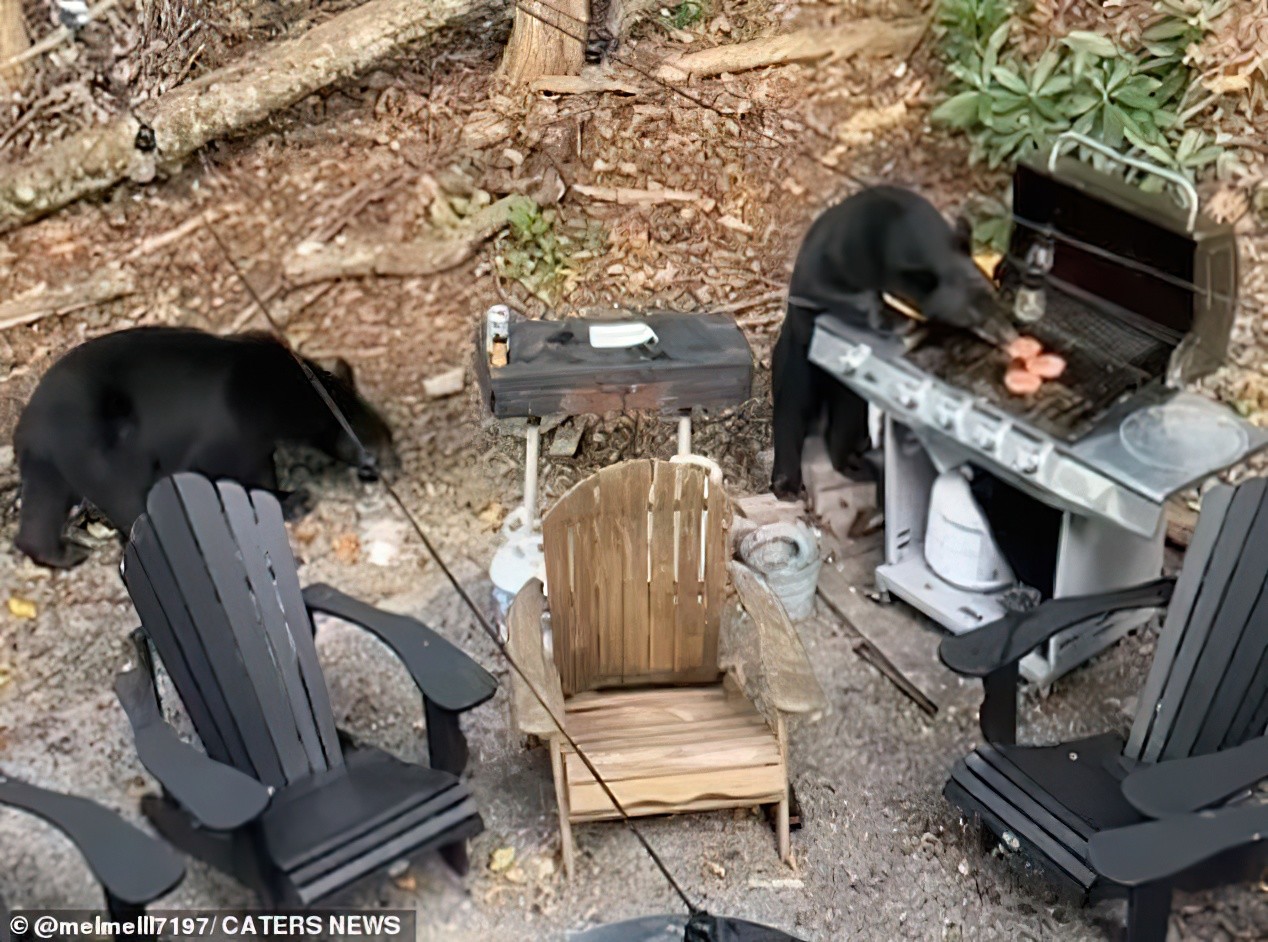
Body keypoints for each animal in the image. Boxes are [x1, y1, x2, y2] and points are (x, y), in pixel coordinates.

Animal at [13, 327, 390, 567]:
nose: (390, 461)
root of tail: (32, 426)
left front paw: (291, 500)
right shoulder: (229, 432)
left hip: (52, 465)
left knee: (43, 509)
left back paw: (63, 554)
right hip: (98, 450)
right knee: (128, 501)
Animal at [765, 180, 1014, 496]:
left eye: (993, 297)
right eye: (972, 316)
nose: (1010, 337)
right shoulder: (834, 263)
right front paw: (894, 318)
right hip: (798, 354)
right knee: (794, 400)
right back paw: (792, 480)